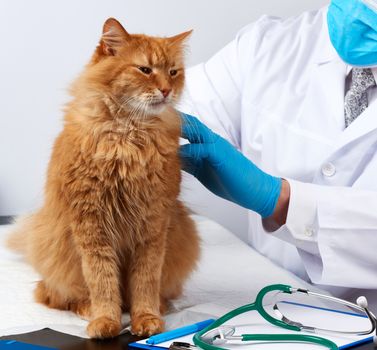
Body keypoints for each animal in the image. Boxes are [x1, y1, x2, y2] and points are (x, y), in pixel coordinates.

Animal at [6, 18, 200, 340]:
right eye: (145, 69)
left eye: (173, 72)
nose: (166, 90)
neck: (128, 137)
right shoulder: (92, 225)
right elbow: (102, 280)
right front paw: (106, 320)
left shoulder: (153, 226)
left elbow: (145, 281)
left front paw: (147, 318)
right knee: (58, 295)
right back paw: (87, 308)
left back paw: (158, 306)